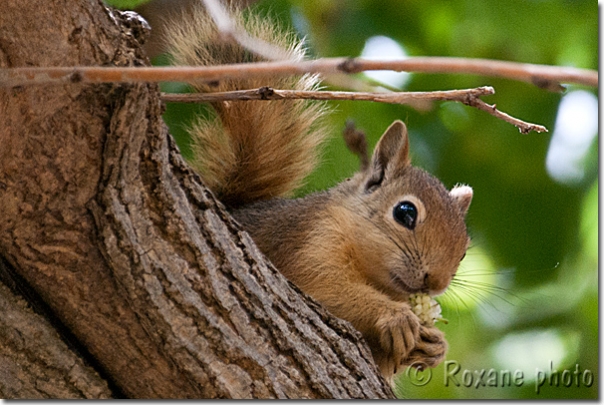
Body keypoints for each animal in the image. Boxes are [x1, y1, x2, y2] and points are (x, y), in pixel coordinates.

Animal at [165, 4, 472, 380]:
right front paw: (394, 316)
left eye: (464, 251)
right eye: (405, 213)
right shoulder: (310, 243)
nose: (436, 282)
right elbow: (327, 289)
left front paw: (433, 345)